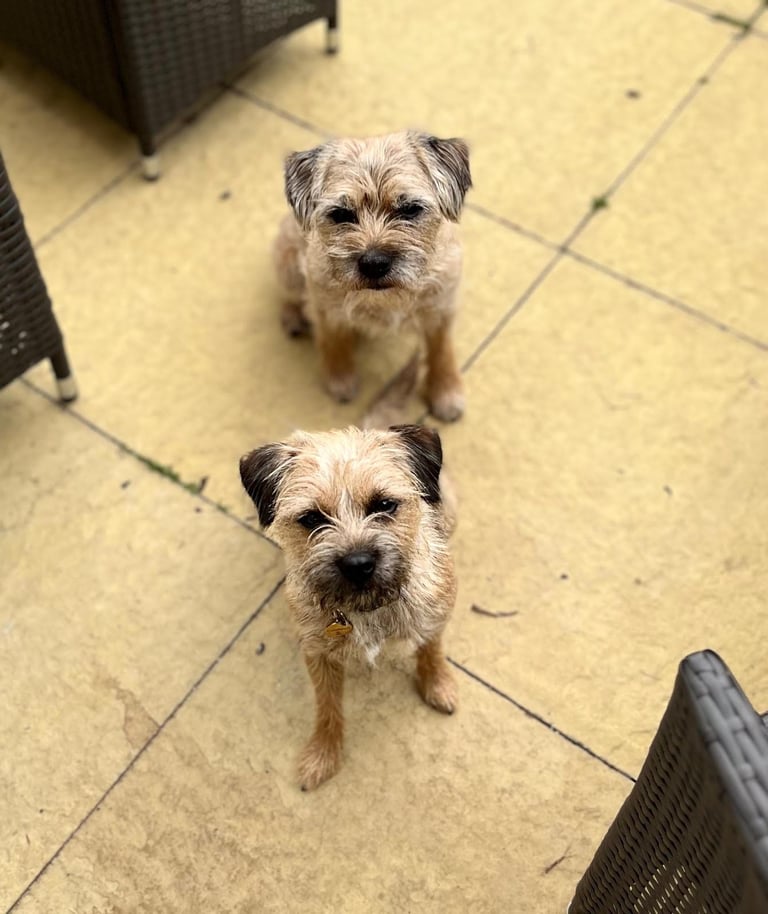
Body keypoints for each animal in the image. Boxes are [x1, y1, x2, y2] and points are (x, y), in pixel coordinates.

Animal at [240, 424, 457, 790]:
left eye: (384, 504)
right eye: (312, 518)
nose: (357, 563)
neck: (366, 606)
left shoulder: (434, 612)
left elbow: (431, 647)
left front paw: (438, 684)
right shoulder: (318, 653)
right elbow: (327, 706)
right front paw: (323, 754)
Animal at [273, 130, 472, 422]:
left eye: (410, 209)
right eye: (341, 214)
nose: (374, 263)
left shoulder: (441, 307)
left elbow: (440, 349)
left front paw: (446, 390)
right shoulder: (325, 307)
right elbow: (333, 338)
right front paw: (340, 377)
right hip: (286, 261)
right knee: (289, 295)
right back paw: (292, 316)